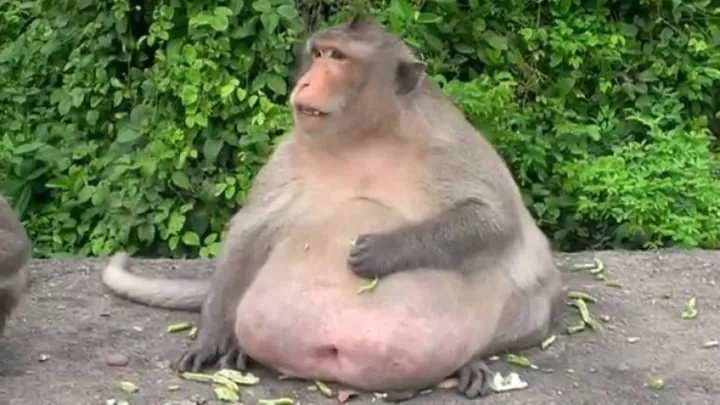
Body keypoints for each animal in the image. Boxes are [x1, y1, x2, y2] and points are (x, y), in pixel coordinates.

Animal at [101, 17, 563, 399]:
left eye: (339, 58)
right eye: (319, 53)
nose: (306, 82)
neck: (365, 135)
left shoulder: (446, 143)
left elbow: (494, 220)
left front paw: (382, 250)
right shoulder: (292, 151)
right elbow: (251, 230)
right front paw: (213, 334)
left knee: (530, 299)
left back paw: (470, 361)